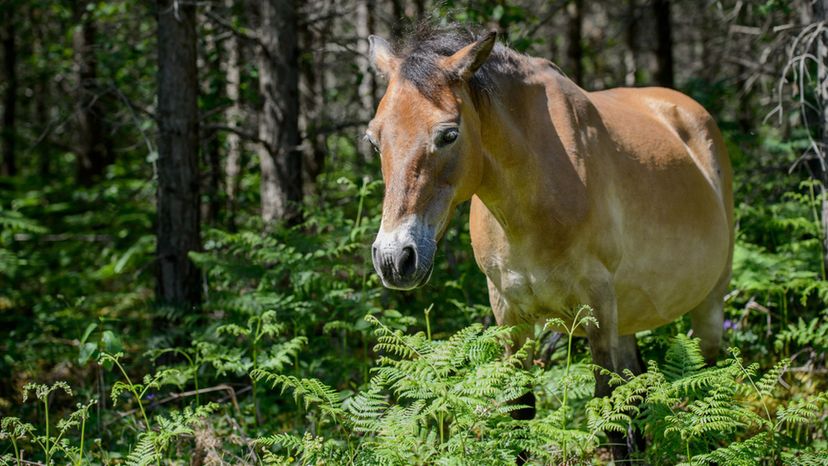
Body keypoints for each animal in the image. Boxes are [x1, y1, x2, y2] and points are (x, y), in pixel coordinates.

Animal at [366, 26, 736, 456]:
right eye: (374, 139)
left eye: (449, 134)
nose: (394, 259)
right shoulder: (508, 311)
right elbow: (520, 410)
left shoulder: (596, 305)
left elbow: (608, 415)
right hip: (624, 316)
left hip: (707, 304)